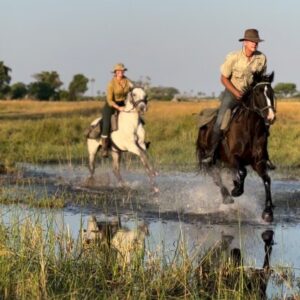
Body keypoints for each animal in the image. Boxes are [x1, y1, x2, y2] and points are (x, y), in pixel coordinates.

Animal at [197, 72, 276, 223]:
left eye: (271, 92)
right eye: (258, 92)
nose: (270, 117)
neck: (249, 129)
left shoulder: (258, 161)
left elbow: (267, 180)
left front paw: (268, 213)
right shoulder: (234, 157)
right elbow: (242, 172)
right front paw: (236, 191)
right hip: (209, 160)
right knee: (216, 177)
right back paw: (227, 197)